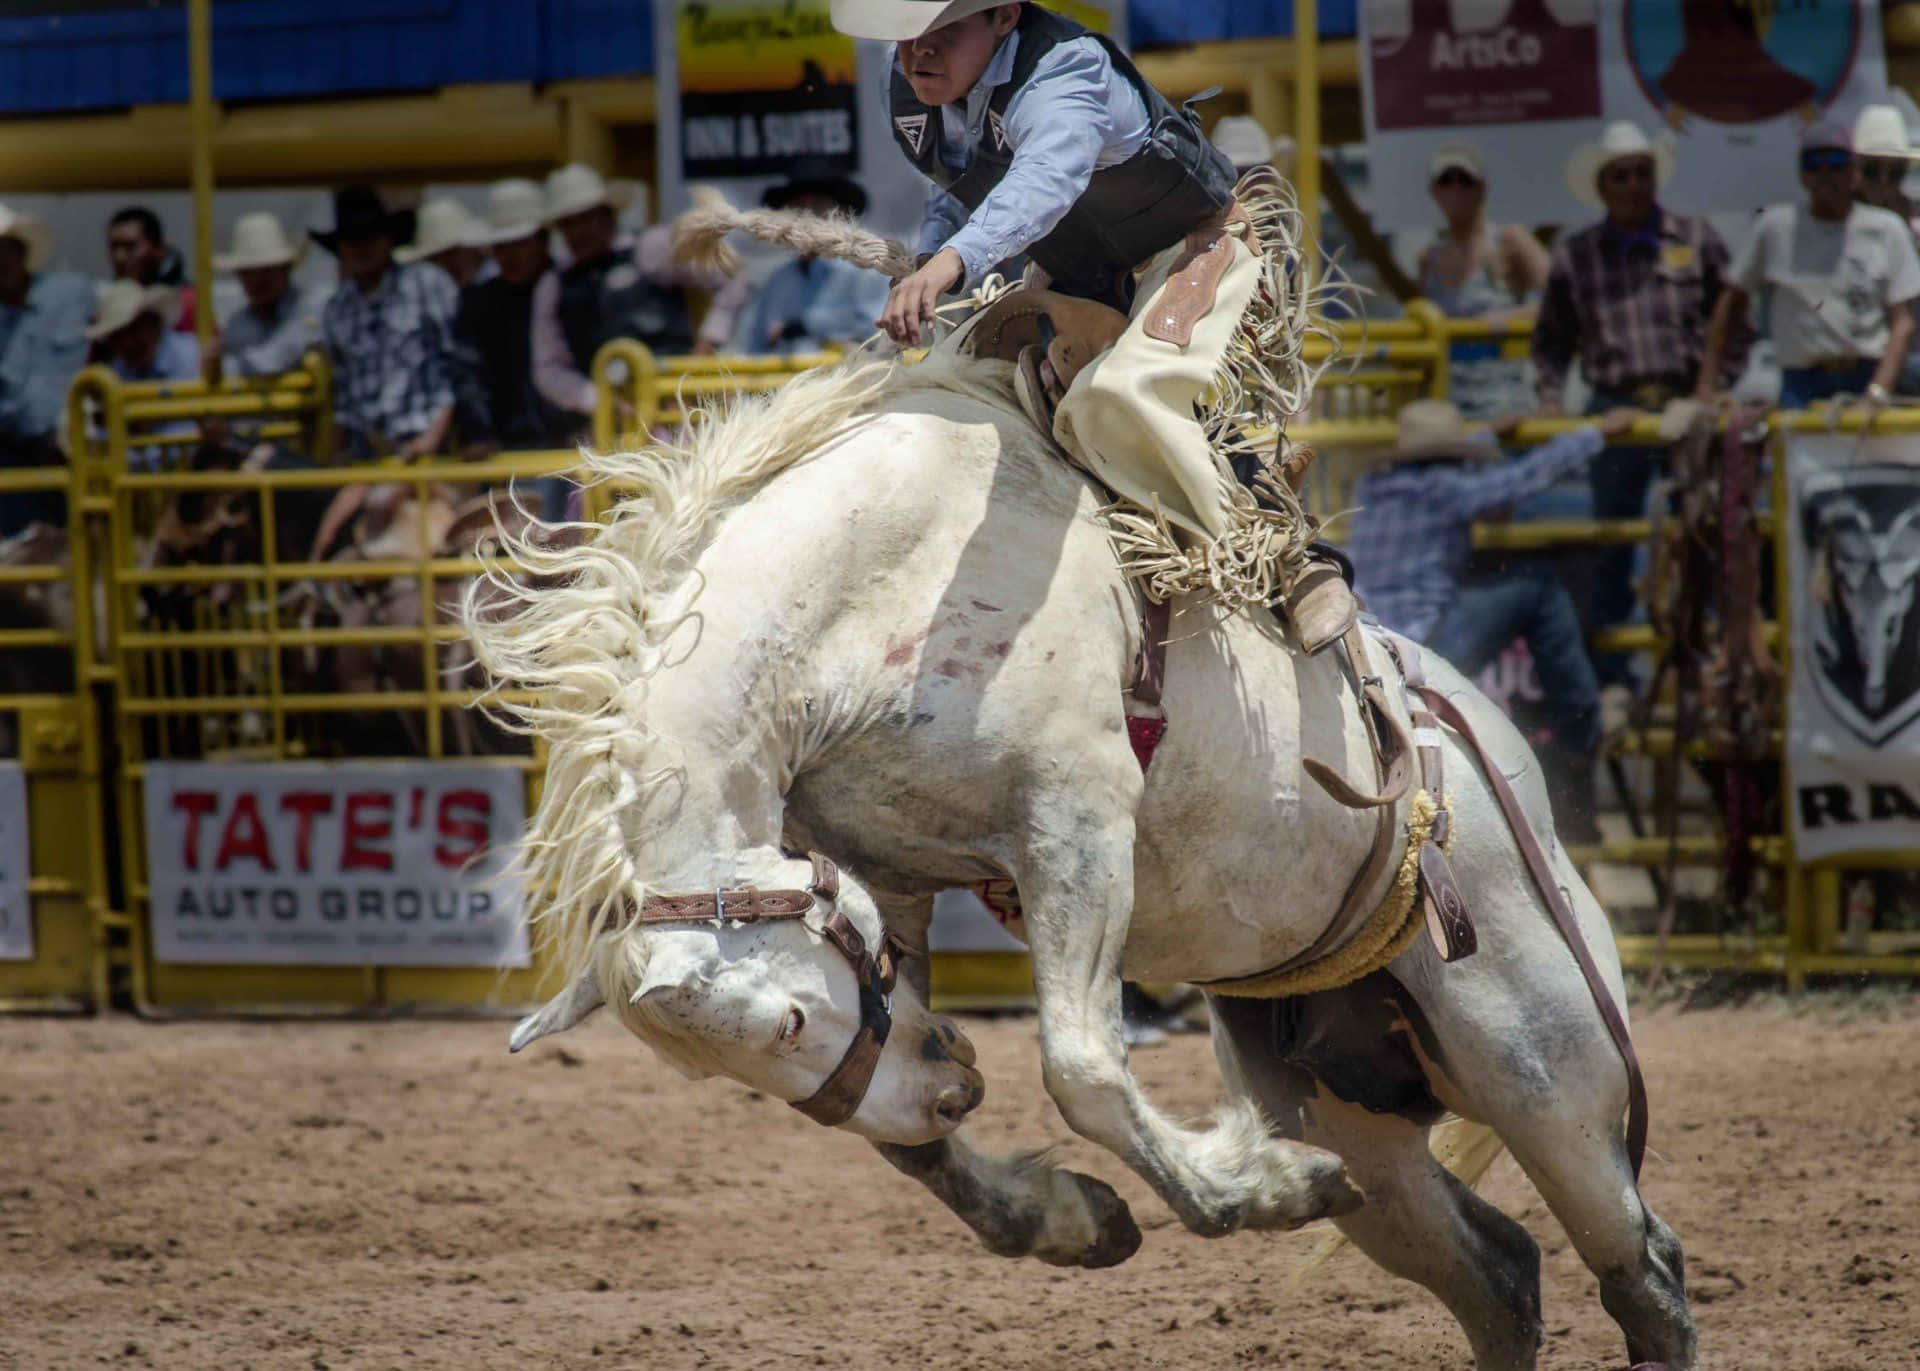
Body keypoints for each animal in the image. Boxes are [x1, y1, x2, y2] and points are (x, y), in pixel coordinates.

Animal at [468, 350, 1695, 1371]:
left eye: (783, 1025)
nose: (953, 1085)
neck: (875, 585)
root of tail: (1488, 754)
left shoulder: (1078, 825)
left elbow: (1083, 1069)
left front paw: (1255, 1189)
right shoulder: (888, 876)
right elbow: (915, 1138)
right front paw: (1076, 1220)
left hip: (1545, 1067)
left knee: (1642, 1271)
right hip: (1356, 1117)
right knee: (1500, 1277)